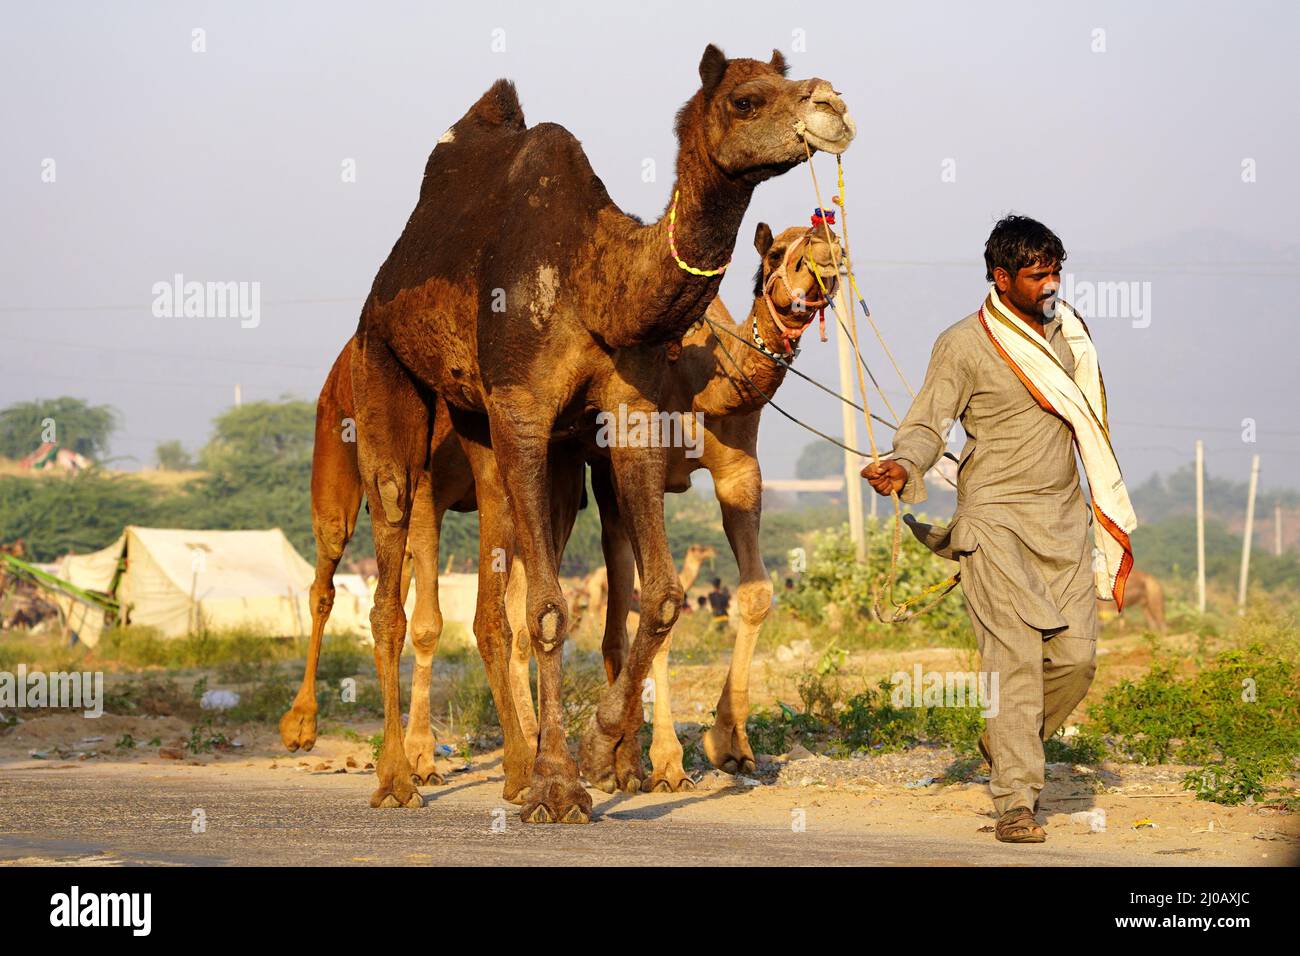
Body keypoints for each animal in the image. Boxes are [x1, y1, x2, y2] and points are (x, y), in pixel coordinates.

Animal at [351, 46, 852, 822]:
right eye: (745, 99)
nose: (832, 105)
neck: (596, 282)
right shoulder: (525, 410)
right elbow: (551, 608)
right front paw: (562, 787)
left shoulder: (632, 414)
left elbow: (663, 594)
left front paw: (597, 751)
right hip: (385, 363)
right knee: (393, 547)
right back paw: (399, 779)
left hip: (476, 422)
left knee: (491, 601)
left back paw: (514, 770)